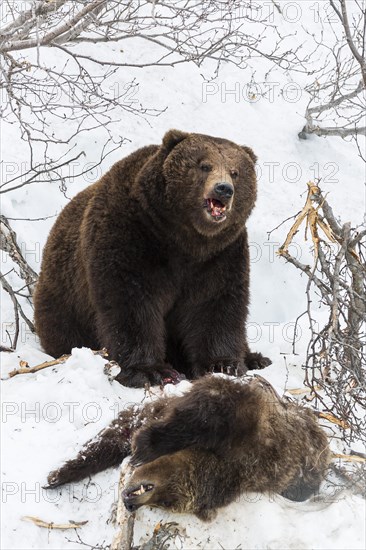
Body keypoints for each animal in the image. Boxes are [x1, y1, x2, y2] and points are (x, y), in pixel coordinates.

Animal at [34, 129, 270, 388]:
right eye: (204, 165)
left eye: (235, 172)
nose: (224, 189)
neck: (185, 239)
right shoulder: (132, 236)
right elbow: (131, 302)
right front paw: (152, 370)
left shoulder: (220, 255)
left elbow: (214, 304)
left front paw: (222, 364)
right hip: (65, 302)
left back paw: (257, 358)